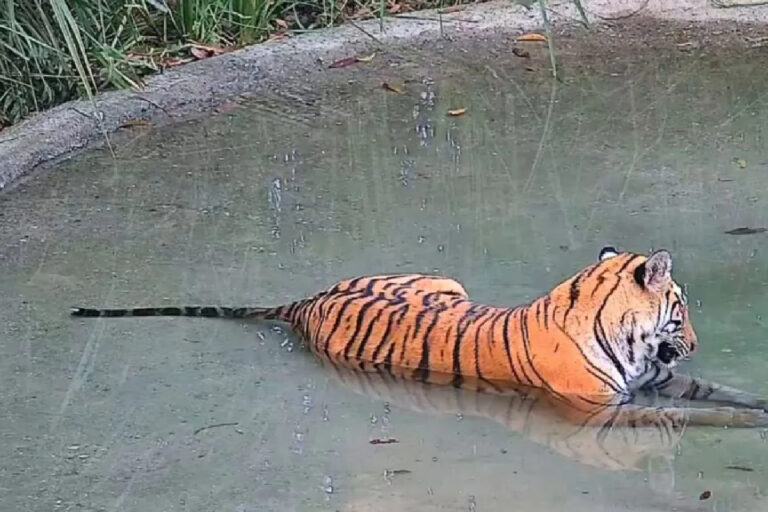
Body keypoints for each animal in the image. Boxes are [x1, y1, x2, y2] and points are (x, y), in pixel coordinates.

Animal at [70, 246, 768, 427]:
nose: (696, 341)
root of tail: (306, 301)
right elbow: (696, 414)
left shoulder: (660, 376)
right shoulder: (601, 410)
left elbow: (721, 392)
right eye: (681, 309)